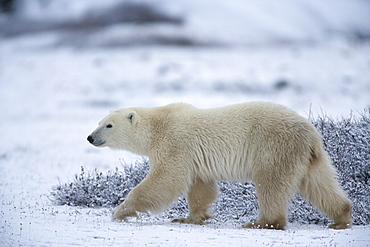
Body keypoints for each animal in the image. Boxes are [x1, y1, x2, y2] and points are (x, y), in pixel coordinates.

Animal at [87, 102, 352, 230]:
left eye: (108, 125)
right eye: (99, 121)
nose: (90, 137)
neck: (159, 124)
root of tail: (311, 133)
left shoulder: (175, 143)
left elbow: (165, 180)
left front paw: (121, 211)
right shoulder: (194, 158)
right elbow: (200, 187)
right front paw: (190, 218)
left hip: (275, 147)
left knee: (271, 183)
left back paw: (261, 222)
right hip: (310, 157)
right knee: (320, 183)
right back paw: (341, 218)